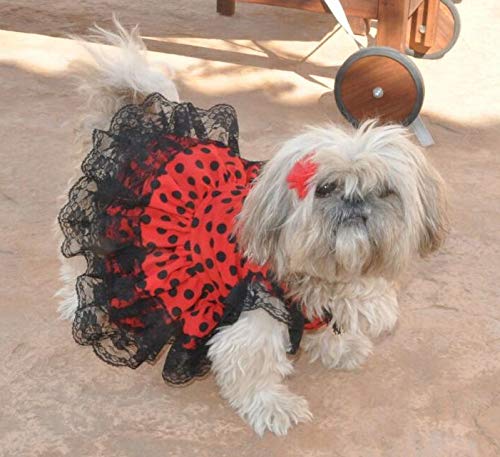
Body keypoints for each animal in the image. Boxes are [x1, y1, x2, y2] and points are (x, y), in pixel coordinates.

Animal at [56, 19, 448, 436]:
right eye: (326, 188)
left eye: (385, 190)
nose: (356, 204)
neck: (324, 276)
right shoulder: (254, 317)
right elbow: (253, 369)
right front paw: (273, 406)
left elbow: (326, 327)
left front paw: (338, 347)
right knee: (80, 266)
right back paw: (81, 304)